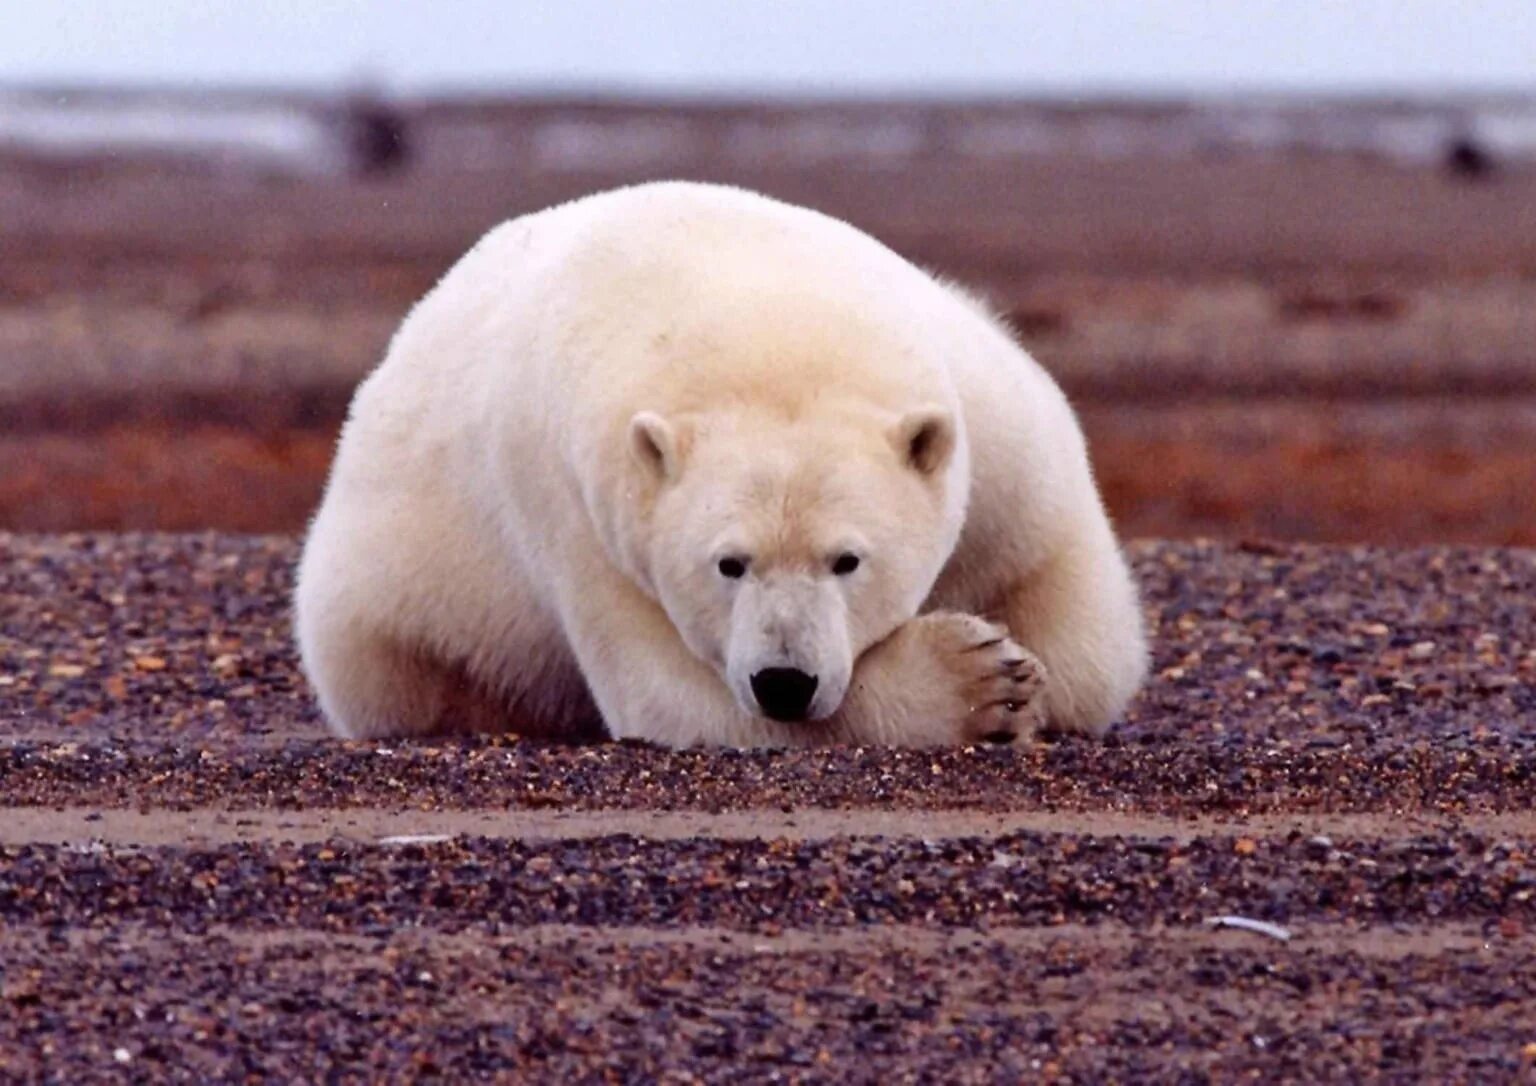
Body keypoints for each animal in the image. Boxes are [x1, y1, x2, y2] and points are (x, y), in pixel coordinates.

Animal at [293, 185, 1148, 746]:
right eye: (729, 563)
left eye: (847, 559)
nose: (785, 681)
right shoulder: (583, 513)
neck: (762, 321)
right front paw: (982, 680)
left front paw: (1027, 672)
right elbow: (672, 697)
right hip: (391, 606)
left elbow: (1081, 633)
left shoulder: (993, 421)